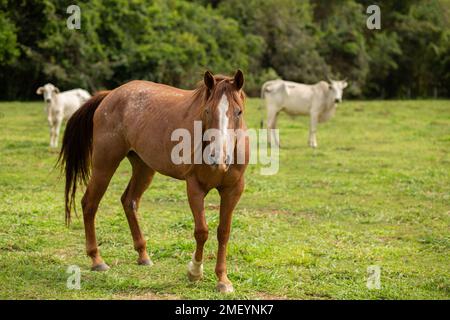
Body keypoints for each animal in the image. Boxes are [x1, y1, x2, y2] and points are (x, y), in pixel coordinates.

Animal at [58, 70, 250, 292]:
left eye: (239, 112)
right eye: (208, 111)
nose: (218, 158)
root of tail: (110, 95)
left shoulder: (233, 190)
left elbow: (223, 232)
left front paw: (223, 279)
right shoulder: (194, 187)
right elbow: (201, 231)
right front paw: (194, 271)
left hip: (143, 167)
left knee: (129, 201)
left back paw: (143, 255)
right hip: (104, 164)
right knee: (89, 204)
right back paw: (97, 260)